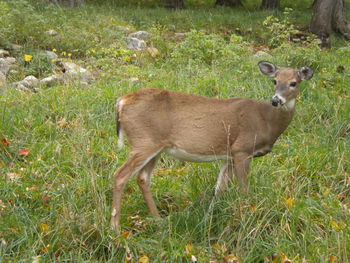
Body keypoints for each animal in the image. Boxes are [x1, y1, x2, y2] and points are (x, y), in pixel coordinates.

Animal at [110, 61, 314, 231]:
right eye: (274, 81)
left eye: (294, 83)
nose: (276, 100)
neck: (267, 121)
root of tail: (121, 101)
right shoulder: (242, 149)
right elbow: (243, 189)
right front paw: (246, 217)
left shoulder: (229, 155)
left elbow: (218, 189)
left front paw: (207, 220)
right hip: (144, 141)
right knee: (120, 175)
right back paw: (116, 229)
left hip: (156, 147)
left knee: (143, 178)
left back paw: (159, 221)